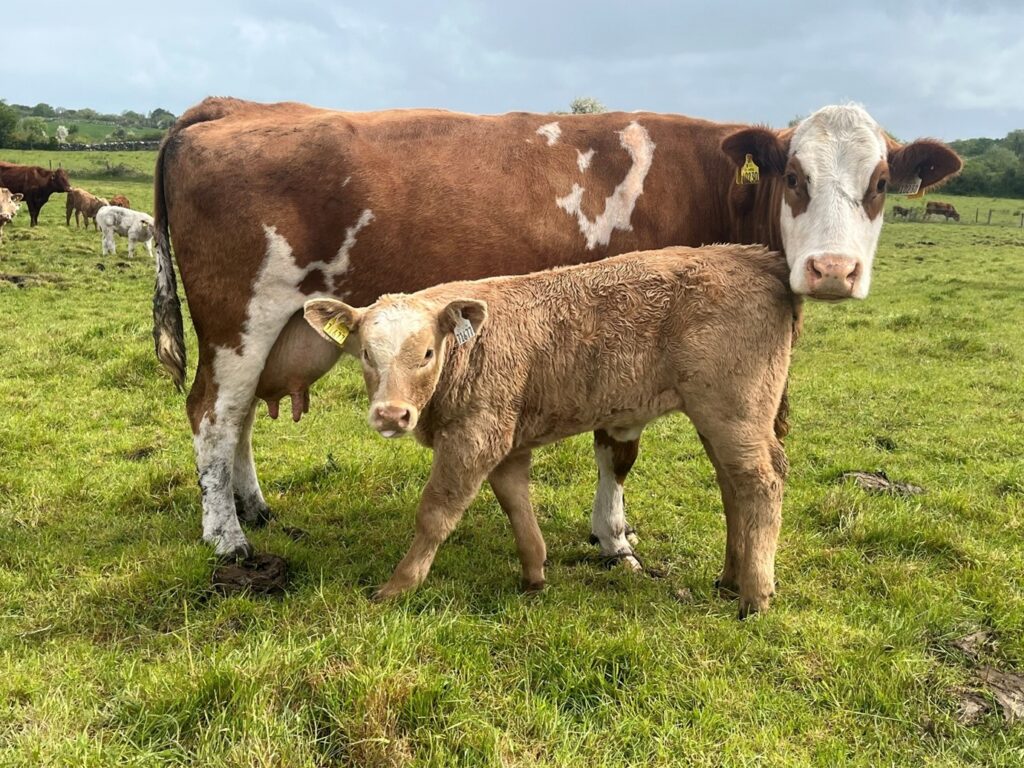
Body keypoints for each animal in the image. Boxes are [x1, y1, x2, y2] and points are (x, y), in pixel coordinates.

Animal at [150, 97, 961, 571]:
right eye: (794, 176)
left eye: (880, 184)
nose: (832, 269)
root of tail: (228, 112)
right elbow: (618, 448)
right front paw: (614, 538)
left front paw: (609, 532)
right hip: (239, 316)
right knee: (213, 414)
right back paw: (228, 538)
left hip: (273, 326)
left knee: (237, 416)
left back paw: (251, 505)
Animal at [304, 245, 795, 616]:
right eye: (366, 354)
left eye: (426, 353)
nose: (391, 415)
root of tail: (755, 257)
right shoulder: (506, 440)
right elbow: (517, 505)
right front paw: (534, 575)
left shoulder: (474, 436)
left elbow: (436, 513)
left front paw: (398, 586)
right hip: (718, 419)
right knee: (731, 485)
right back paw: (730, 578)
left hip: (736, 411)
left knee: (763, 481)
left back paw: (755, 595)